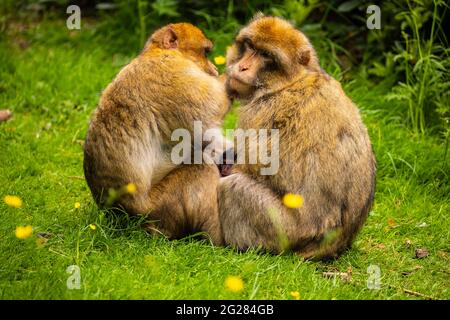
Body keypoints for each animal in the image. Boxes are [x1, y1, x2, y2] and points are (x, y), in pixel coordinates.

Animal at [83, 23, 232, 245]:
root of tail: (118, 216)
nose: (214, 69)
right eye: (205, 52)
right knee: (201, 168)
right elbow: (213, 105)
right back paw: (217, 240)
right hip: (159, 209)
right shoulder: (172, 72)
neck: (157, 52)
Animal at [219, 15, 376, 260]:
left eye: (265, 55)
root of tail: (329, 246)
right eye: (250, 47)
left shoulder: (258, 112)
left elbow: (244, 168)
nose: (242, 66)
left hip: (285, 231)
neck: (291, 80)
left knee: (233, 188)